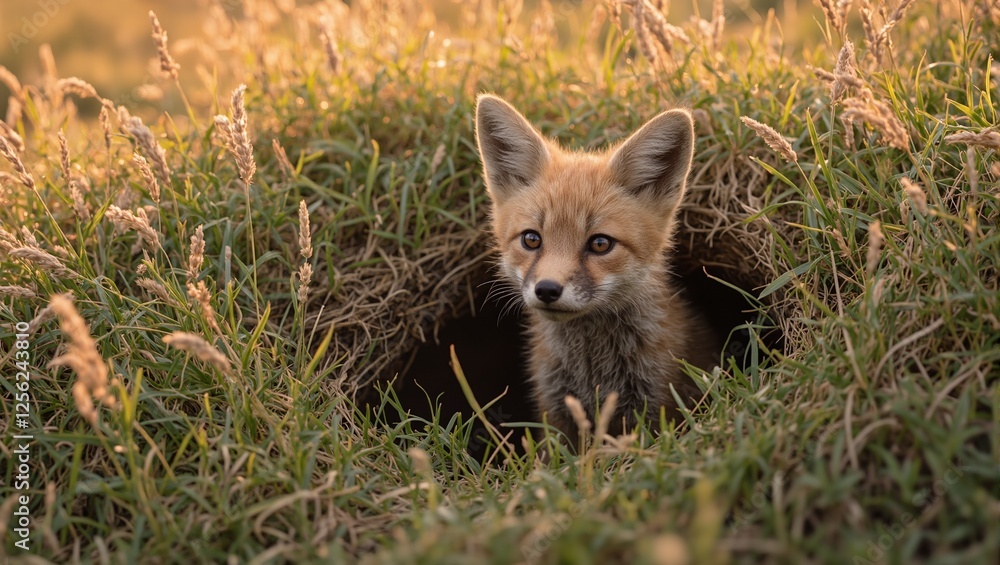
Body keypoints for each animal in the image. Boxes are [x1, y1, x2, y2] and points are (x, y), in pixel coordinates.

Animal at [474, 94, 720, 441]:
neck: (593, 371)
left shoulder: (656, 405)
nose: (547, 289)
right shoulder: (556, 413)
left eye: (600, 244)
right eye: (532, 239)